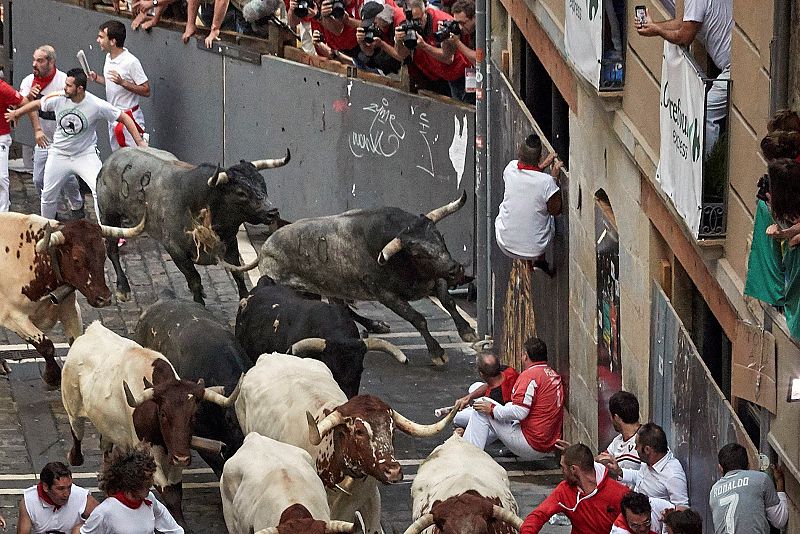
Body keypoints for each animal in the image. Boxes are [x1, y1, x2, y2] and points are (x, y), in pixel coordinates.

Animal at [97, 147, 290, 306]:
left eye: (263, 183)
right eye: (241, 192)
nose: (272, 212)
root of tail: (111, 159)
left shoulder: (230, 244)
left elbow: (238, 274)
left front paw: (245, 299)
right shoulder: (175, 250)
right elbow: (195, 279)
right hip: (109, 217)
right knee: (112, 249)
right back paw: (123, 289)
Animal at [250, 191, 476, 366]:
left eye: (441, 237)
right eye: (418, 253)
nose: (456, 269)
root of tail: (266, 249)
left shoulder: (435, 278)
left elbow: (448, 301)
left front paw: (467, 331)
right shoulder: (386, 295)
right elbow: (417, 318)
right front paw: (437, 353)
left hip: (332, 288)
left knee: (343, 308)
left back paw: (376, 325)